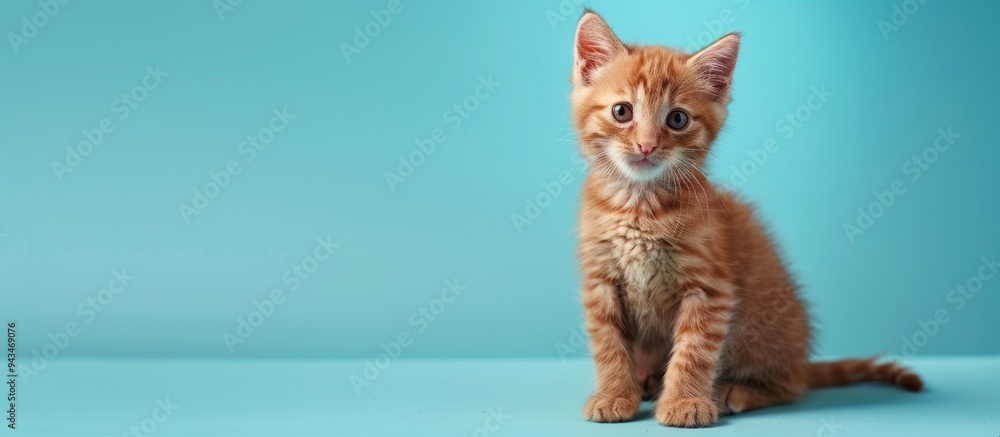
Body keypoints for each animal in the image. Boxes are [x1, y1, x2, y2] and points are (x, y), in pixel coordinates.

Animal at [572, 9, 920, 426]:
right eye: (622, 112)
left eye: (677, 119)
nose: (646, 146)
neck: (641, 205)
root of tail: (800, 359)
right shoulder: (600, 281)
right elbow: (608, 344)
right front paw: (614, 395)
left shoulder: (711, 288)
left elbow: (693, 351)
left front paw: (685, 402)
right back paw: (647, 380)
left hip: (764, 334)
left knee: (792, 386)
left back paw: (734, 391)